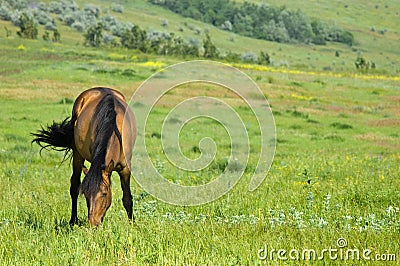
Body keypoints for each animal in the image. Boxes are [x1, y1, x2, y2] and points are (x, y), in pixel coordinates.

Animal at [31, 88, 138, 227]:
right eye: (86, 195)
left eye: (104, 194)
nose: (93, 224)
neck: (113, 127)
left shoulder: (125, 169)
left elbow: (127, 198)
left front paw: (132, 225)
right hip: (77, 154)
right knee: (74, 186)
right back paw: (73, 221)